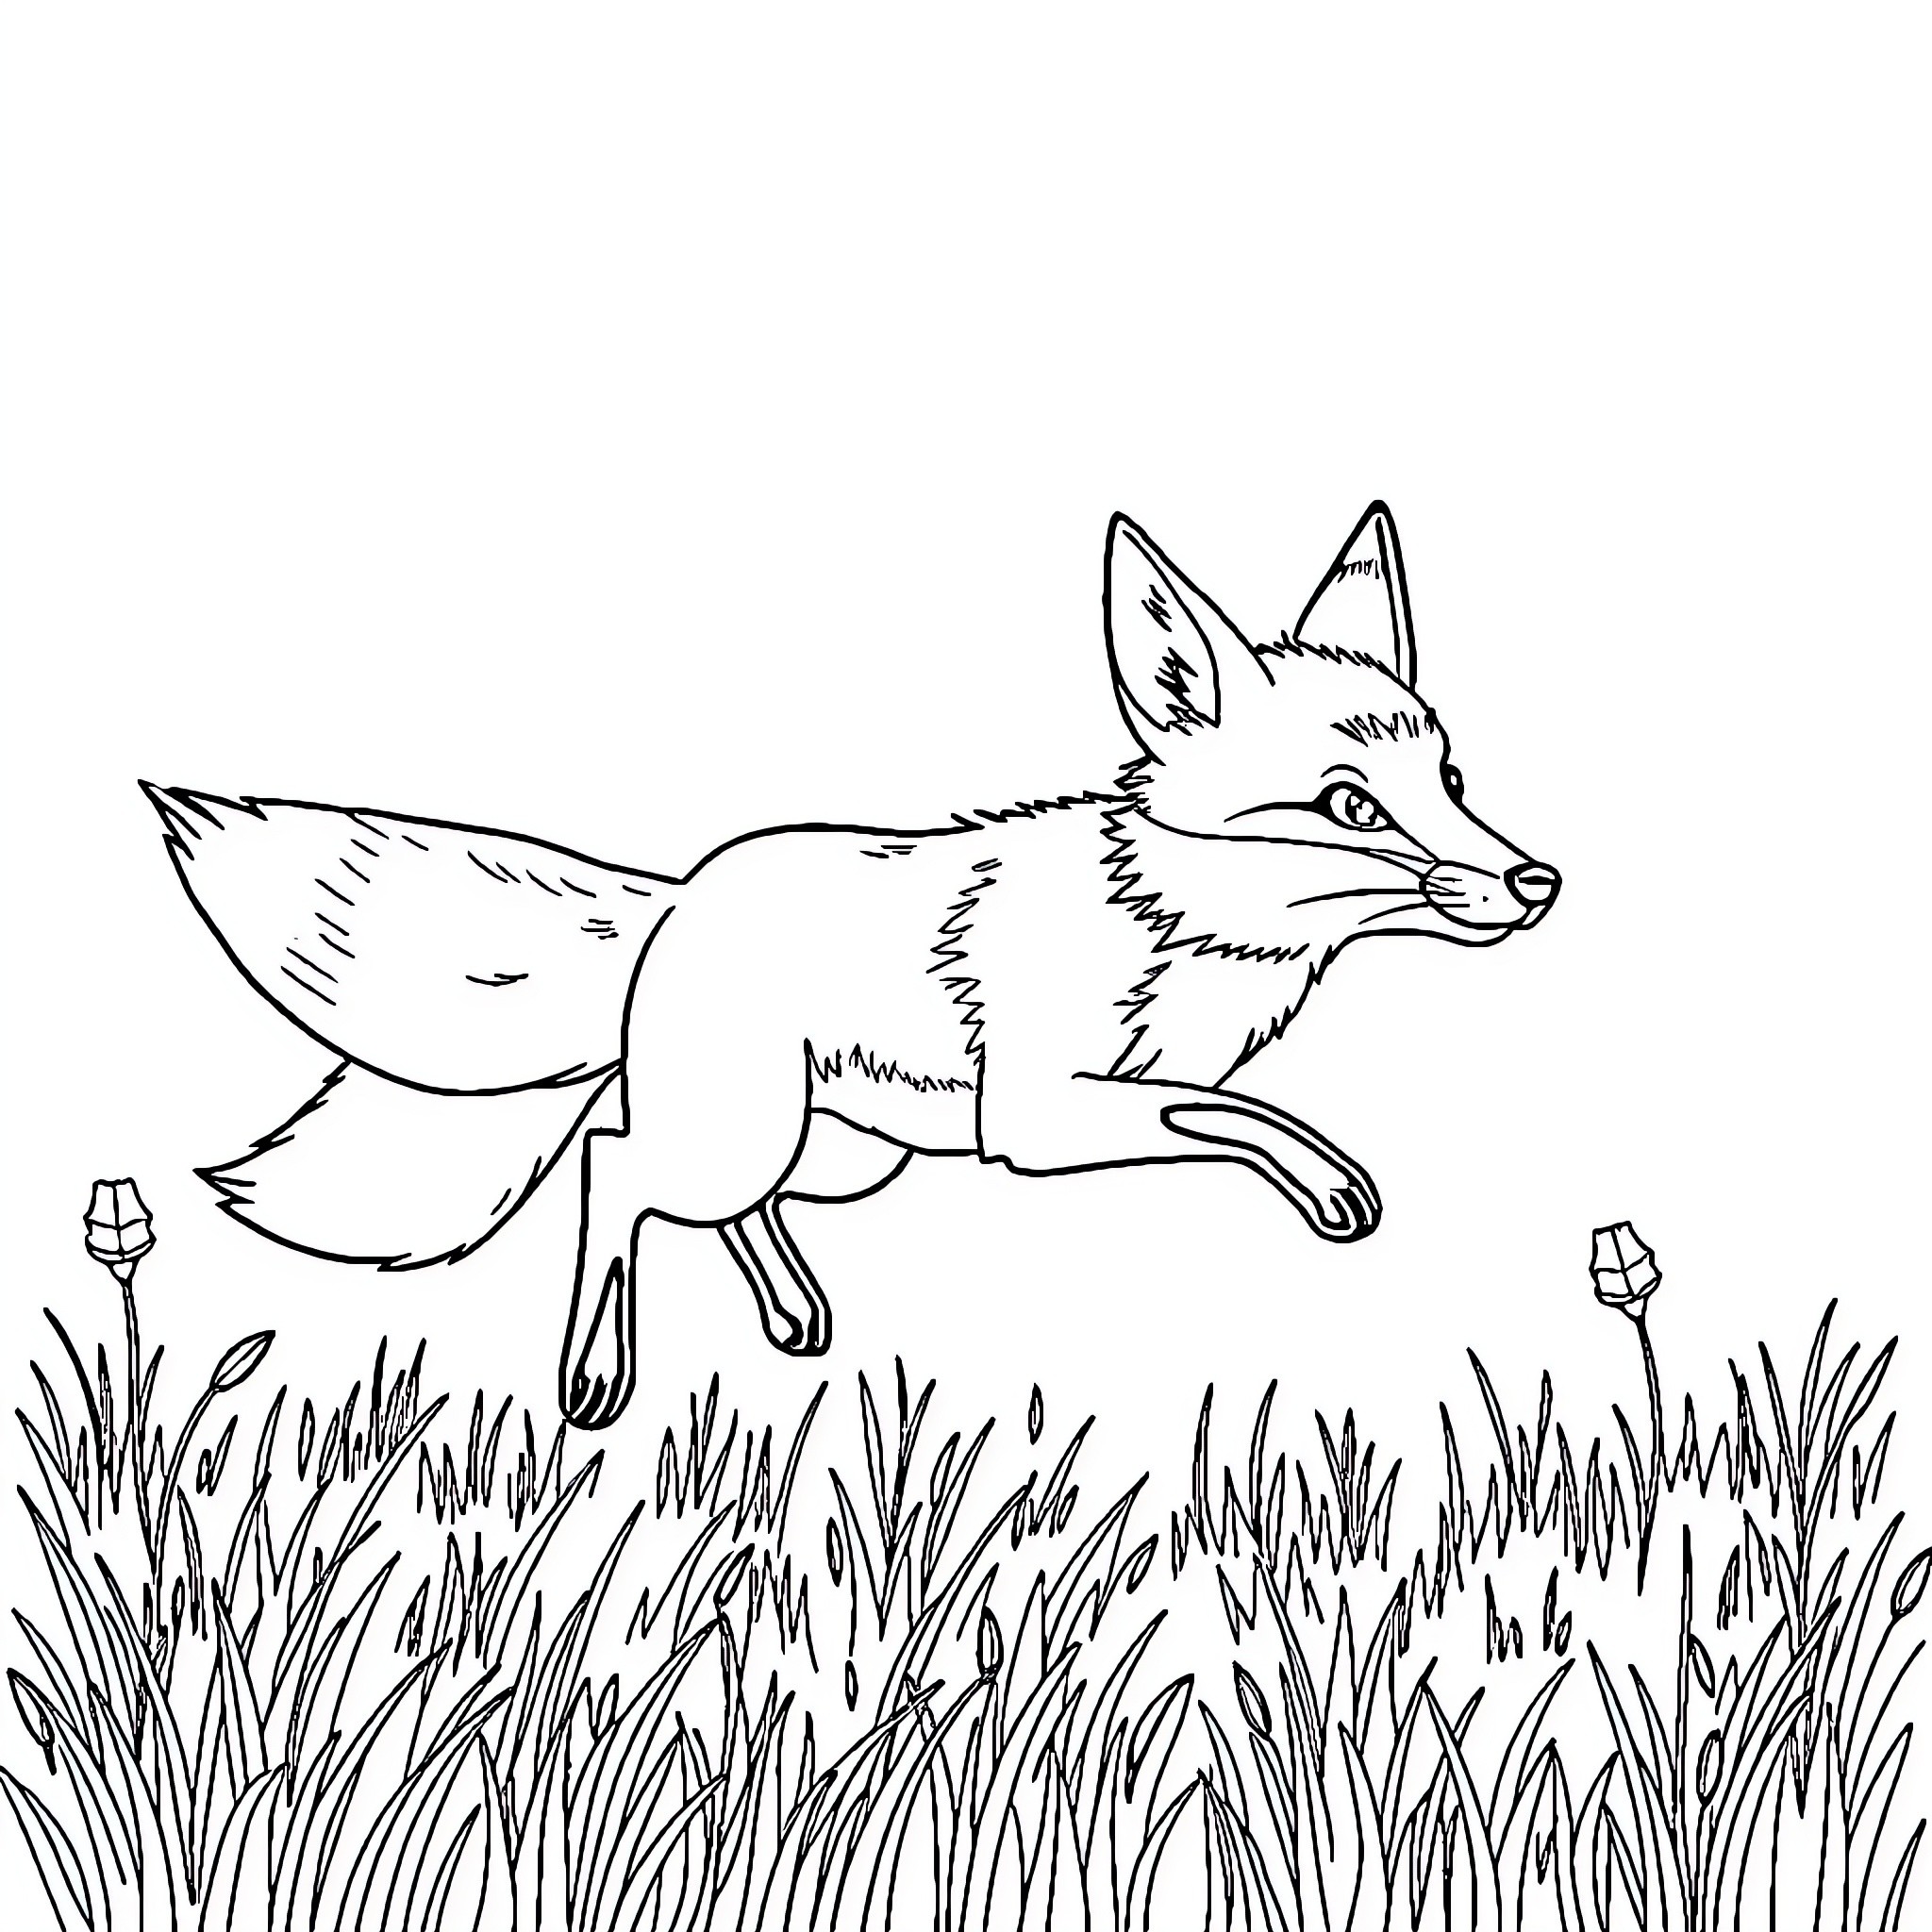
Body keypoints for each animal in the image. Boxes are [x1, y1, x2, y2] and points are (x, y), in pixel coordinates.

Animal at [148, 502, 1559, 1430]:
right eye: (1348, 806)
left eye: (1450, 782)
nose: (1536, 883)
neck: (1167, 922)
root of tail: (678, 896)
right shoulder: (1040, 1116)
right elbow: (1235, 1113)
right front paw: (1326, 1180)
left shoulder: (1090, 1095)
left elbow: (1220, 1101)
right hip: (742, 1139)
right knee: (612, 1166)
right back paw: (597, 1378)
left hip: (837, 1154)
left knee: (696, 1188)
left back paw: (793, 1319)